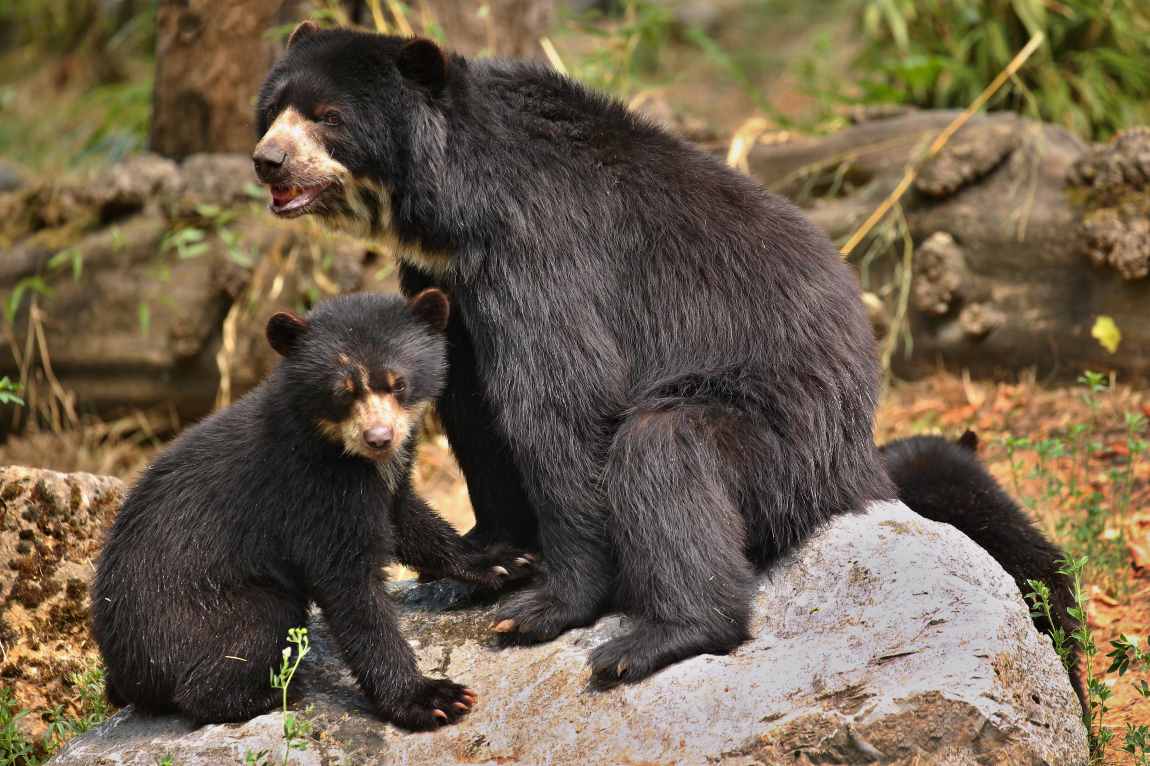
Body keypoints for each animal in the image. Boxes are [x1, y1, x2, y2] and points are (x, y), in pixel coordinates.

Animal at [91, 290, 534, 728]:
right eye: (343, 392)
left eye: (399, 383)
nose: (379, 438)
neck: (348, 456)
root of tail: (122, 670)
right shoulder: (310, 490)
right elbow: (351, 588)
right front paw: (433, 698)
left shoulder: (383, 483)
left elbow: (410, 520)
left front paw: (505, 562)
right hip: (202, 611)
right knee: (245, 638)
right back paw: (269, 692)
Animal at [252, 23, 895, 688]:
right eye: (272, 111)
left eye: (330, 117)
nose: (267, 161)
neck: (453, 209)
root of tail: (862, 459)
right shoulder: (445, 280)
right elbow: (471, 408)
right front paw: (489, 559)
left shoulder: (540, 250)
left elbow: (559, 399)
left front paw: (543, 607)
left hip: (782, 437)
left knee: (665, 452)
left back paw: (657, 637)